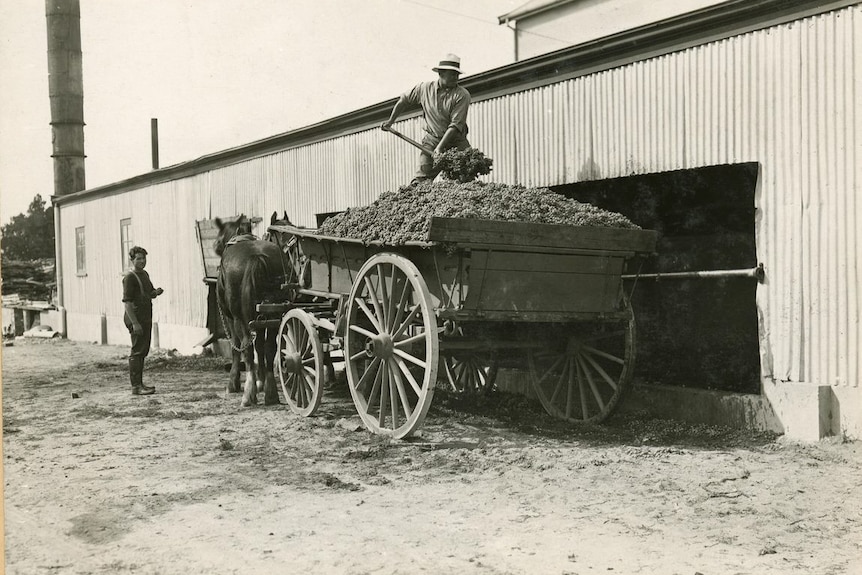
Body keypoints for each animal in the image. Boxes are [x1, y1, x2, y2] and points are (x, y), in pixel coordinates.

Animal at [214, 214, 288, 408]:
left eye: (219, 239)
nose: (215, 247)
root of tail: (256, 256)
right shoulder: (260, 320)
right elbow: (261, 347)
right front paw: (261, 381)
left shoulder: (230, 318)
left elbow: (236, 347)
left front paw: (233, 384)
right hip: (274, 314)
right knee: (269, 347)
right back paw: (270, 393)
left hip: (240, 319)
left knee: (246, 346)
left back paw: (248, 394)